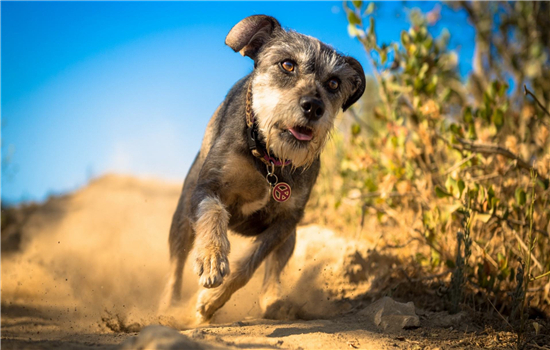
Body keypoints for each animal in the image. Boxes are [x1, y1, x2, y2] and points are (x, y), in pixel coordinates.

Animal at [166, 14, 368, 322]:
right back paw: (167, 309)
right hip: (181, 222)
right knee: (175, 267)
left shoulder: (286, 221)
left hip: (291, 238)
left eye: (334, 83)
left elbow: (250, 265)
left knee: (272, 273)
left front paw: (210, 301)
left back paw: (274, 303)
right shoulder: (207, 189)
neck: (269, 159)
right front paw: (212, 258)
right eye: (287, 64)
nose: (313, 107)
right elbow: (213, 212)